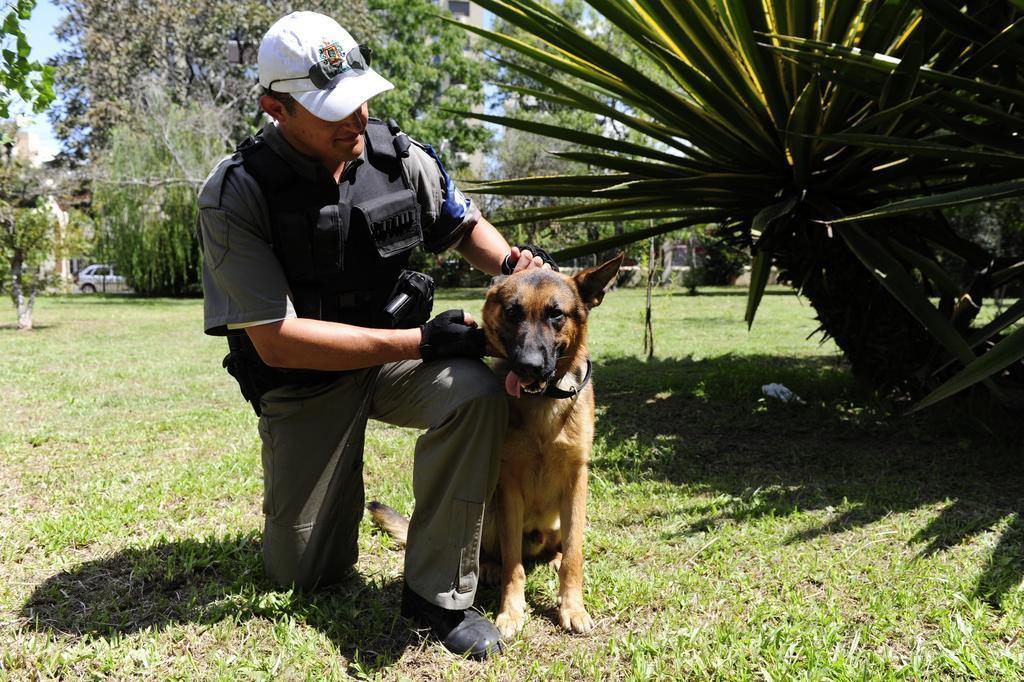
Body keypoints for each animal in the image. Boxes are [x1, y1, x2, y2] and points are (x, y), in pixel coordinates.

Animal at [370, 250, 622, 638]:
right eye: (513, 312)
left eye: (556, 314)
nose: (528, 366)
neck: (541, 404)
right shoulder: (509, 486)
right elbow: (513, 564)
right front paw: (512, 611)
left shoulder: (577, 480)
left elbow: (575, 555)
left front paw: (572, 607)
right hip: (489, 509)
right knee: (493, 551)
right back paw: (489, 566)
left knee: (560, 547)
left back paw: (554, 557)